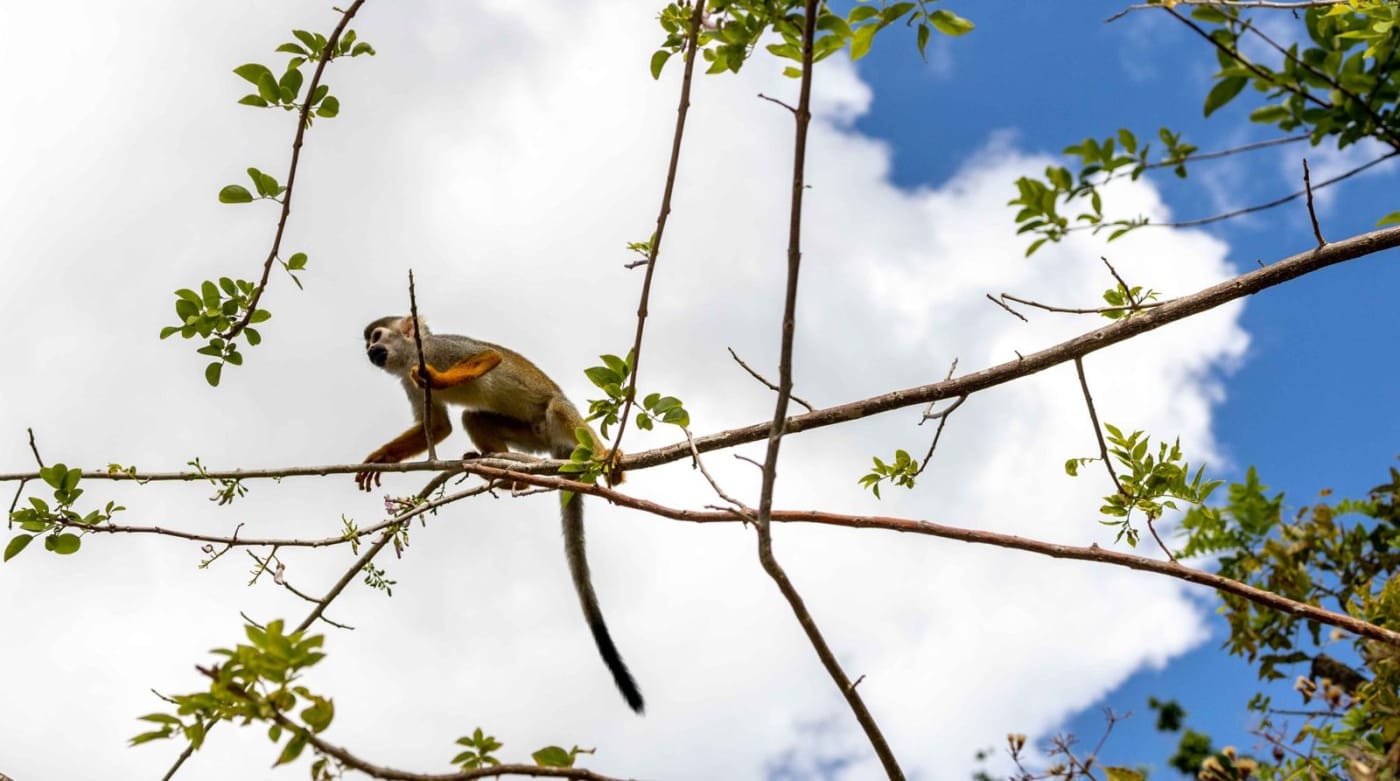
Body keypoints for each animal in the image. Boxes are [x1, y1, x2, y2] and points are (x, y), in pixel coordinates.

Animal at [354, 315, 644, 714]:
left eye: (377, 337)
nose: (370, 350)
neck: (412, 354)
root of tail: (557, 448)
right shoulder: (407, 382)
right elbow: (439, 428)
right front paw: (379, 457)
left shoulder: (439, 349)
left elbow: (488, 356)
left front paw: (437, 380)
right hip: (531, 437)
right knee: (475, 418)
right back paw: (504, 474)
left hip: (554, 425)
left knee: (556, 406)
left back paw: (603, 456)